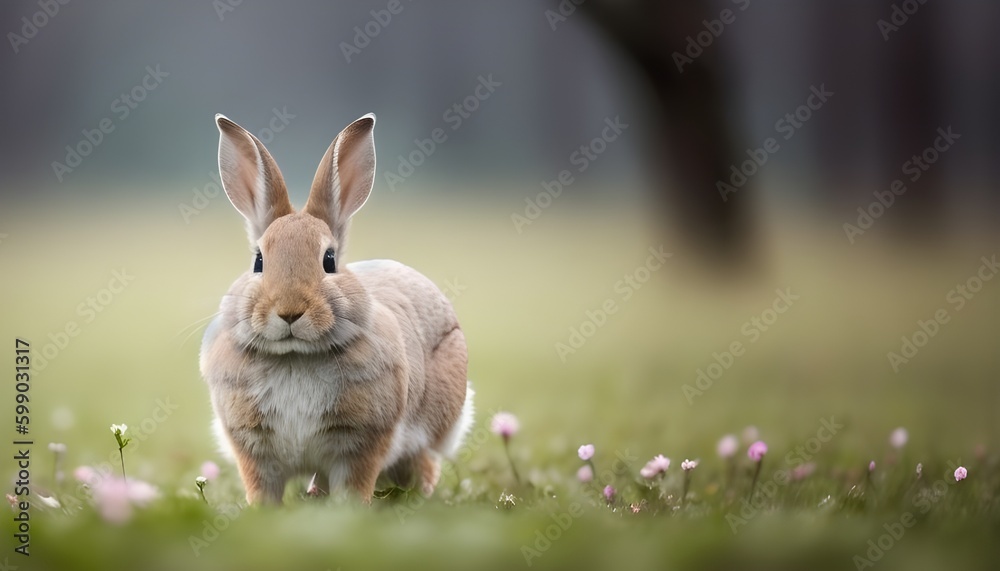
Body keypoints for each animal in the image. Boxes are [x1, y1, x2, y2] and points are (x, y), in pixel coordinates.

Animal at [200, 112, 474, 505]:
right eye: (258, 261)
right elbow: (263, 490)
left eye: (329, 260)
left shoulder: (361, 444)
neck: (295, 357)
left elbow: (353, 486)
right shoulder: (254, 450)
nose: (289, 312)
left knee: (423, 465)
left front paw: (350, 510)